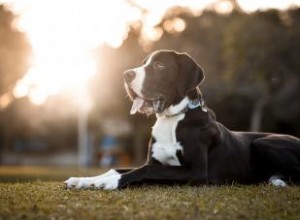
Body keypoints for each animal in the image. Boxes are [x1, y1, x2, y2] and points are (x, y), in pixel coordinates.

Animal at [65, 49, 300, 189]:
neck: (172, 118)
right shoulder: (154, 160)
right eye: (144, 63)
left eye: (159, 66)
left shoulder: (196, 172)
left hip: (264, 143)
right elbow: (121, 167)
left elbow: (146, 170)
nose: (126, 74)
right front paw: (84, 180)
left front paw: (111, 182)